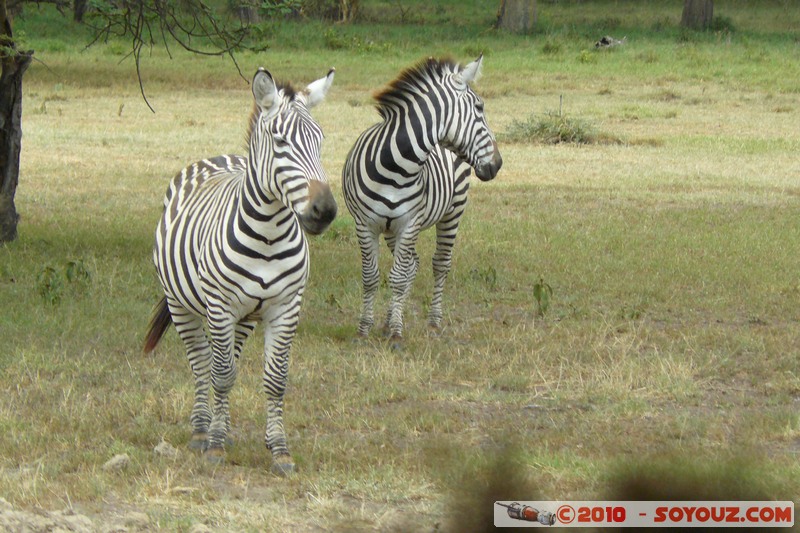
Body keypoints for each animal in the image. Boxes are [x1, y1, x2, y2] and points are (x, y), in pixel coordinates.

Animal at [142, 64, 336, 476]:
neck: (268, 235)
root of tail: (220, 157)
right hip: (181, 305)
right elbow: (220, 374)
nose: (325, 211)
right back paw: (202, 432)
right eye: (280, 142)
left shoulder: (285, 307)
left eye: (321, 140)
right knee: (202, 363)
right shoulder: (220, 307)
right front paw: (214, 446)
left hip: (246, 316)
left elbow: (275, 379)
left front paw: (280, 451)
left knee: (226, 359)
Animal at [342, 56, 504, 342]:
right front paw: (364, 329)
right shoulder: (365, 225)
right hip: (391, 229)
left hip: (453, 211)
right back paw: (389, 319)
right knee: (412, 265)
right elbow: (371, 277)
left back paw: (433, 321)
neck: (394, 166)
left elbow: (397, 278)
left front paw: (397, 333)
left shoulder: (409, 223)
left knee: (439, 264)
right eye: (480, 107)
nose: (498, 164)